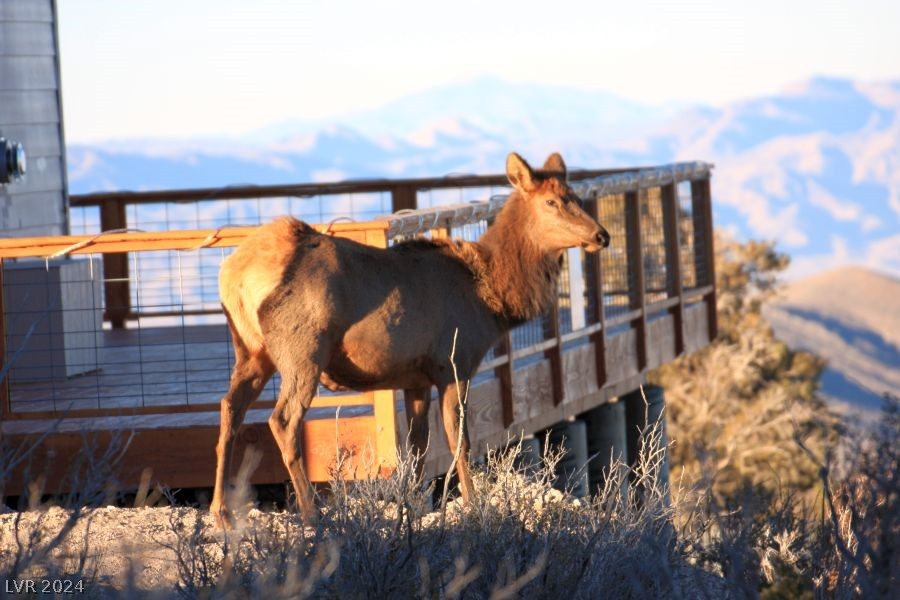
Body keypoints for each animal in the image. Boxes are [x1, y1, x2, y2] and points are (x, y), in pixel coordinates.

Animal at [209, 152, 612, 528]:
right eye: (552, 201)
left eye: (575, 195)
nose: (602, 235)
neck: (493, 300)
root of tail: (234, 273)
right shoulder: (454, 363)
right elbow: (459, 439)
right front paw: (473, 505)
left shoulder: (415, 379)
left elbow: (418, 447)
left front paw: (413, 511)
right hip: (303, 349)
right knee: (283, 420)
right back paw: (312, 513)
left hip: (251, 349)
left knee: (230, 407)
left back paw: (221, 511)